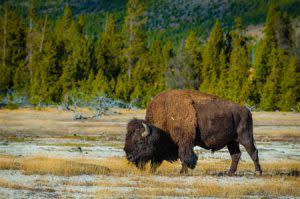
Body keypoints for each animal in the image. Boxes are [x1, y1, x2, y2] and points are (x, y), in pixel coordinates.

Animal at [123, 89, 262, 175]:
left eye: (140, 142)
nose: (129, 157)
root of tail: (246, 110)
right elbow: (157, 160)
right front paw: (152, 171)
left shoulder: (185, 141)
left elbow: (185, 156)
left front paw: (183, 171)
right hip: (231, 141)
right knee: (236, 155)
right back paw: (230, 173)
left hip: (245, 137)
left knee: (253, 152)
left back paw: (258, 172)